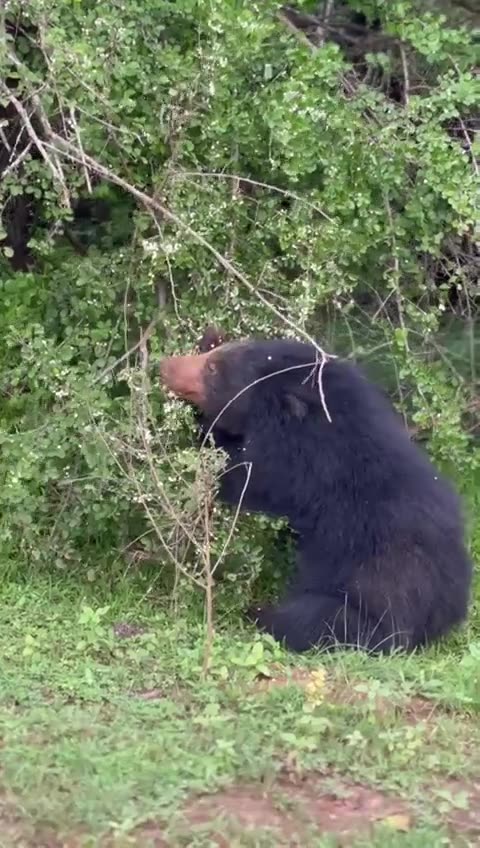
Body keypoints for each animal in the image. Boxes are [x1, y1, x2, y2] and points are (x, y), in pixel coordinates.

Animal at [160, 336, 472, 653]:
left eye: (212, 370)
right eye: (211, 355)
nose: (164, 365)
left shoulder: (300, 462)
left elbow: (244, 476)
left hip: (366, 600)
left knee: (313, 621)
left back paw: (258, 613)